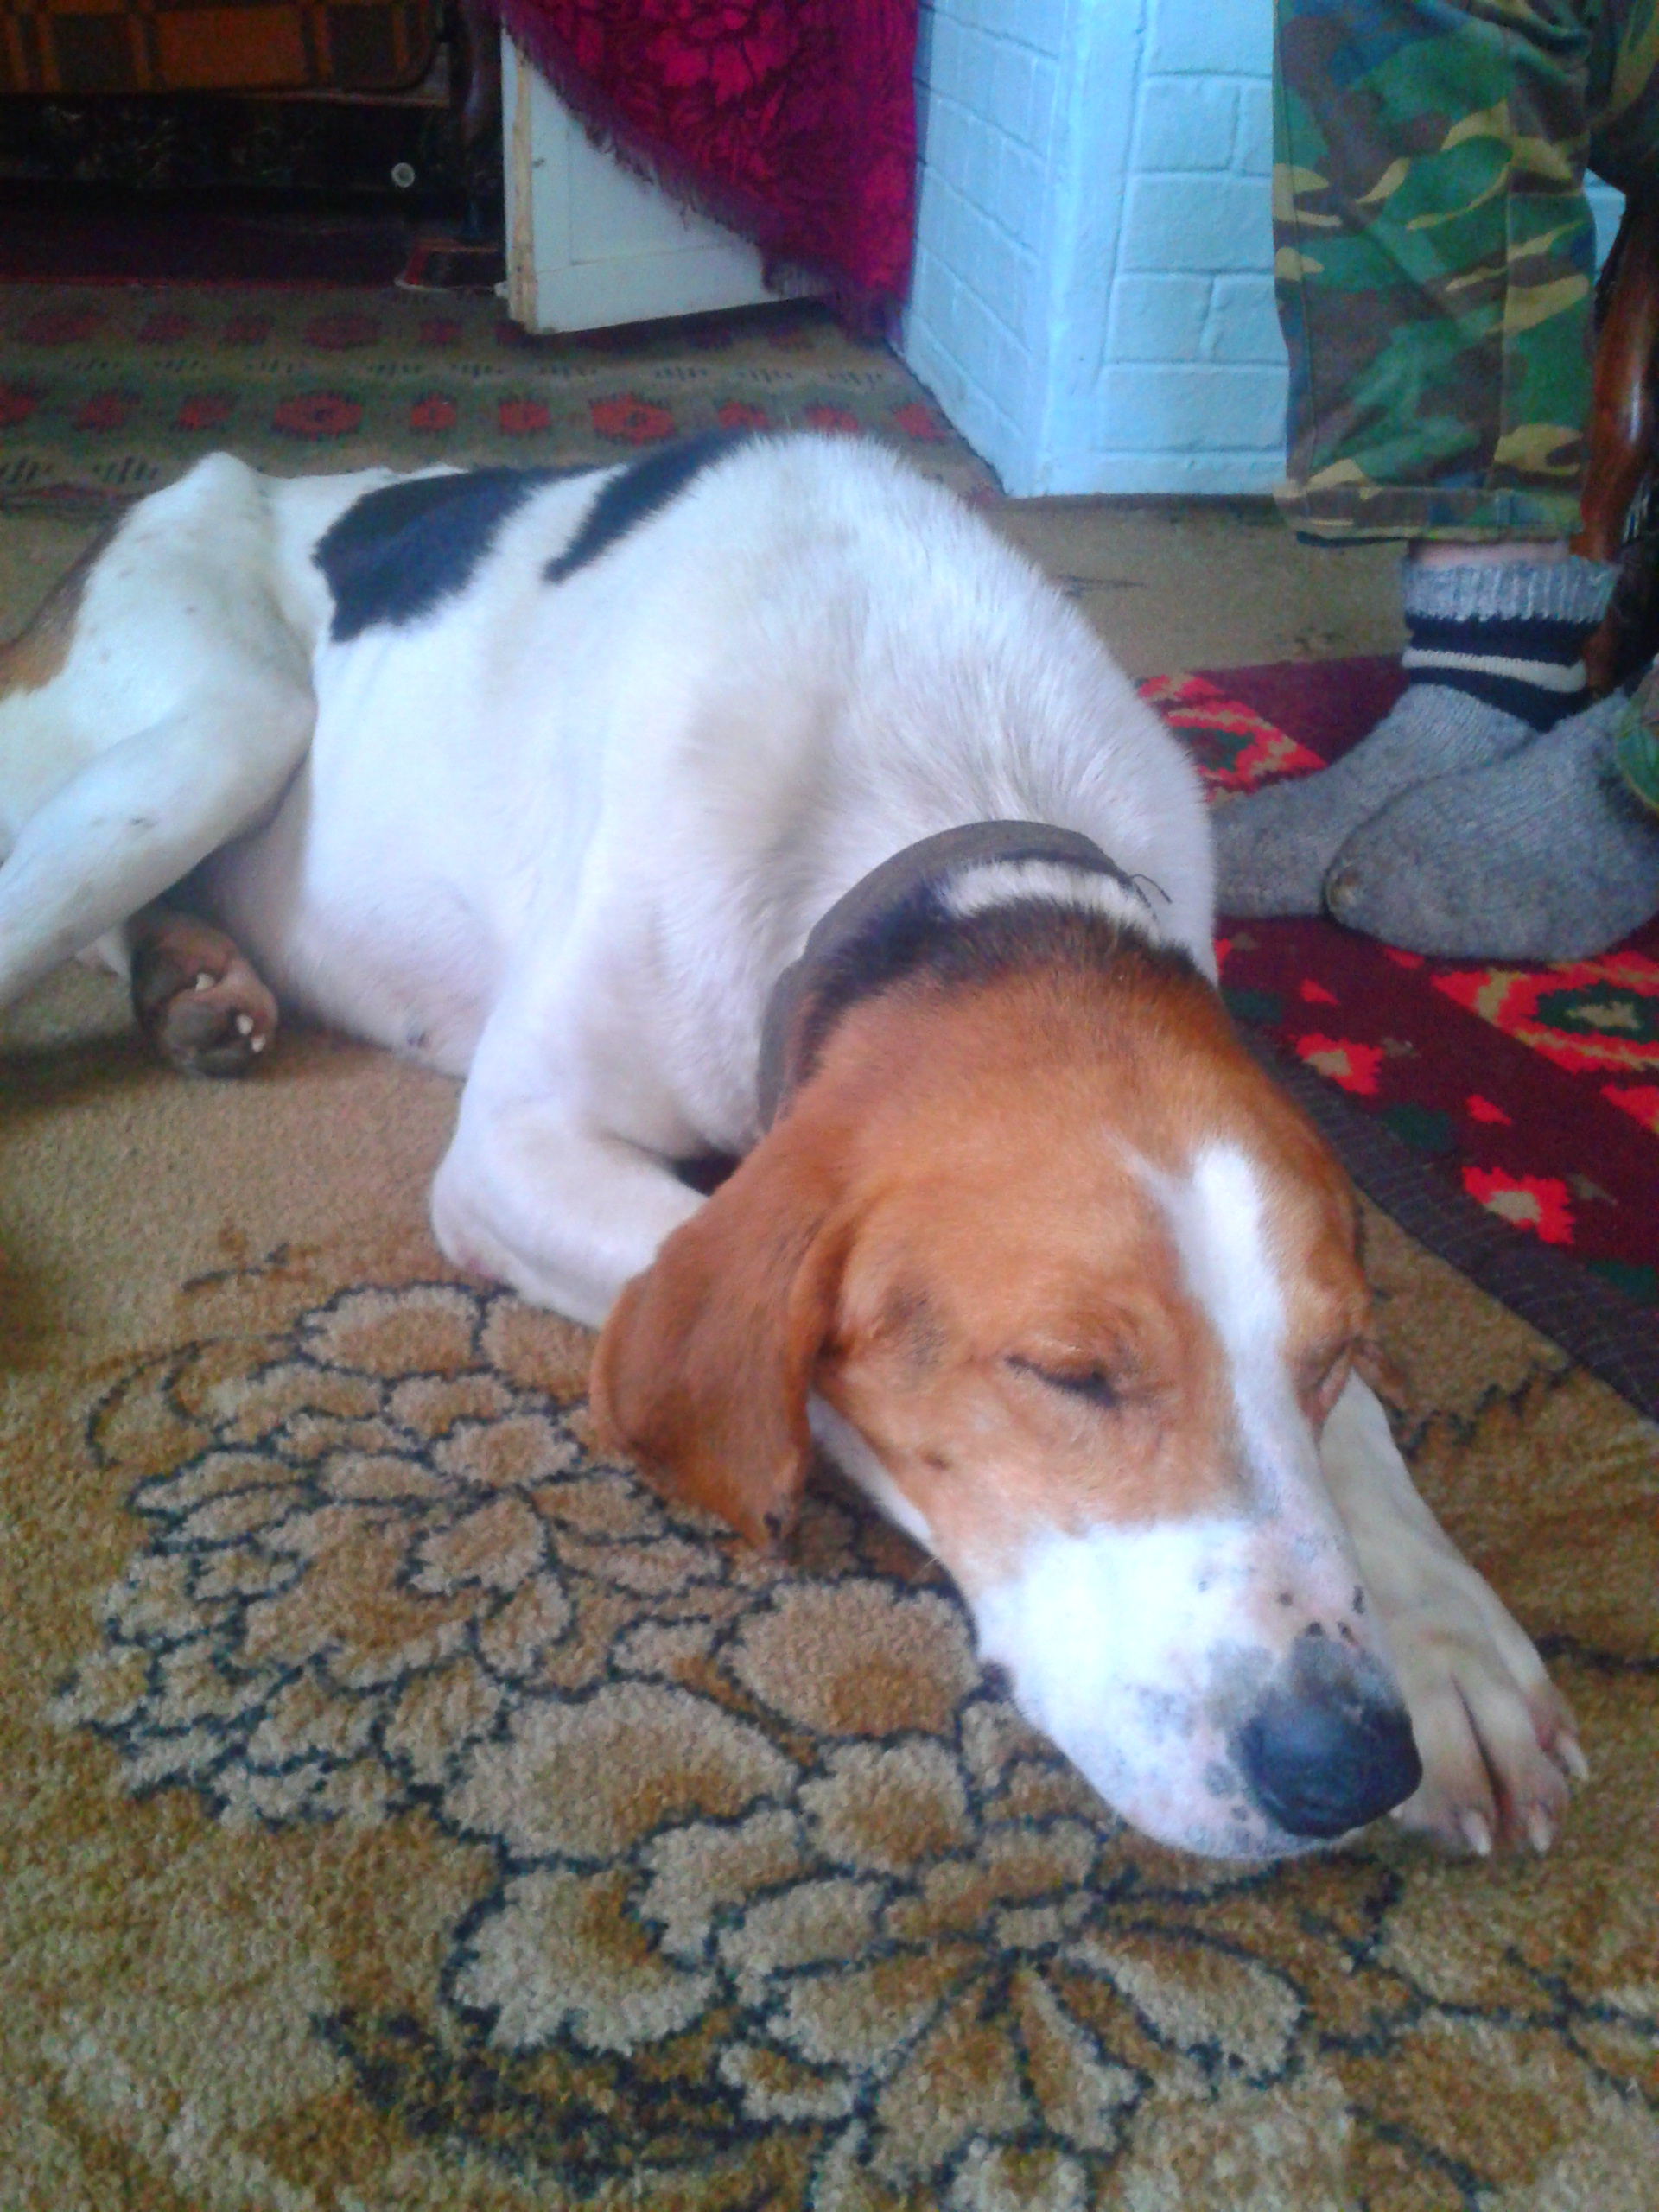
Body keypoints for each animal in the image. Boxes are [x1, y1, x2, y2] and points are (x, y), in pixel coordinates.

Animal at [0, 432, 1586, 1859]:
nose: (1348, 1763)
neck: (955, 805)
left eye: (1331, 1356)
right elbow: (778, 1347)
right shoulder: (513, 1151)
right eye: (1068, 1375)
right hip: (235, 716)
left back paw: (192, 978)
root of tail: (216, 479)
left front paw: (1443, 1631)